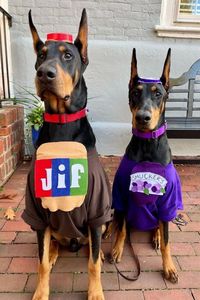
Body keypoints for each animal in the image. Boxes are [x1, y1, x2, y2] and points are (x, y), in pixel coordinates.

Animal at [22, 8, 112, 298]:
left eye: (68, 55)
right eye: (41, 55)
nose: (44, 73)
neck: (62, 126)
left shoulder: (97, 210)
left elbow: (93, 263)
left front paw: (95, 292)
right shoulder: (37, 212)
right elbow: (40, 264)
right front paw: (41, 292)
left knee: (93, 246)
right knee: (53, 244)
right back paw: (52, 252)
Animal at [111, 48, 184, 282]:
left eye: (158, 94)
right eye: (135, 93)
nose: (143, 117)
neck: (147, 145)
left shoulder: (168, 201)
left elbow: (168, 241)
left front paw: (169, 267)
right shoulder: (122, 195)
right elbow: (122, 230)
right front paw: (117, 249)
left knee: (159, 227)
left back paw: (156, 236)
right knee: (119, 222)